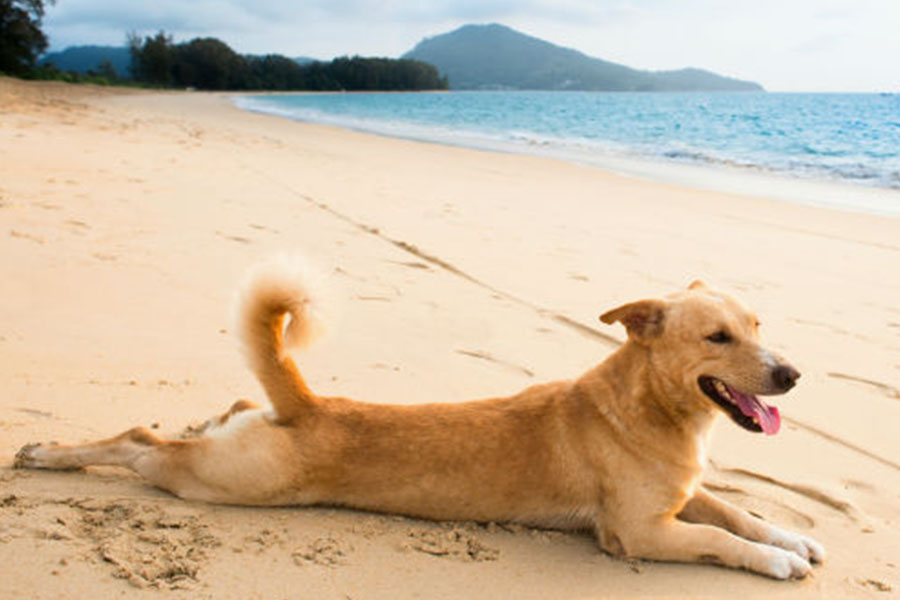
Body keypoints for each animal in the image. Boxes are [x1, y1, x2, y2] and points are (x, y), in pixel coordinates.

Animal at [15, 260, 828, 580]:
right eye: (717, 338)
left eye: (758, 325)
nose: (791, 375)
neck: (649, 408)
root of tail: (303, 403)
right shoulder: (641, 533)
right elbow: (720, 541)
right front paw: (776, 562)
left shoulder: (686, 493)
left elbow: (742, 515)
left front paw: (792, 538)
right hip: (221, 482)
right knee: (138, 444)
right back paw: (47, 454)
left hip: (232, 446)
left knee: (207, 418)